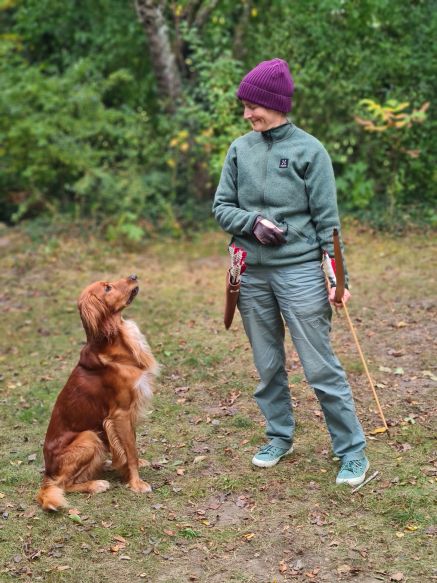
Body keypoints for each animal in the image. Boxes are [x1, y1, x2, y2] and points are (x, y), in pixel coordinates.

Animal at [36, 274, 158, 512]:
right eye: (108, 288)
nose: (134, 275)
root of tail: (48, 472)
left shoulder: (128, 412)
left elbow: (131, 444)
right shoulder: (120, 413)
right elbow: (131, 450)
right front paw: (136, 482)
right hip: (89, 437)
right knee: (63, 484)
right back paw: (96, 484)